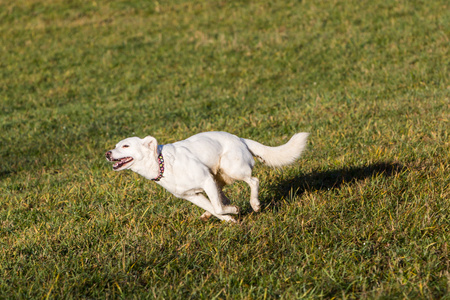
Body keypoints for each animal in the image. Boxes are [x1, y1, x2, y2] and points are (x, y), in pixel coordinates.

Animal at [106, 132, 310, 223]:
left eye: (125, 146)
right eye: (115, 146)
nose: (107, 153)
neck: (162, 163)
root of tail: (240, 139)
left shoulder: (205, 180)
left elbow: (218, 207)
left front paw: (234, 211)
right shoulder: (191, 195)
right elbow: (214, 208)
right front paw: (229, 219)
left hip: (232, 169)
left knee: (254, 181)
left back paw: (255, 204)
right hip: (218, 177)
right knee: (221, 197)